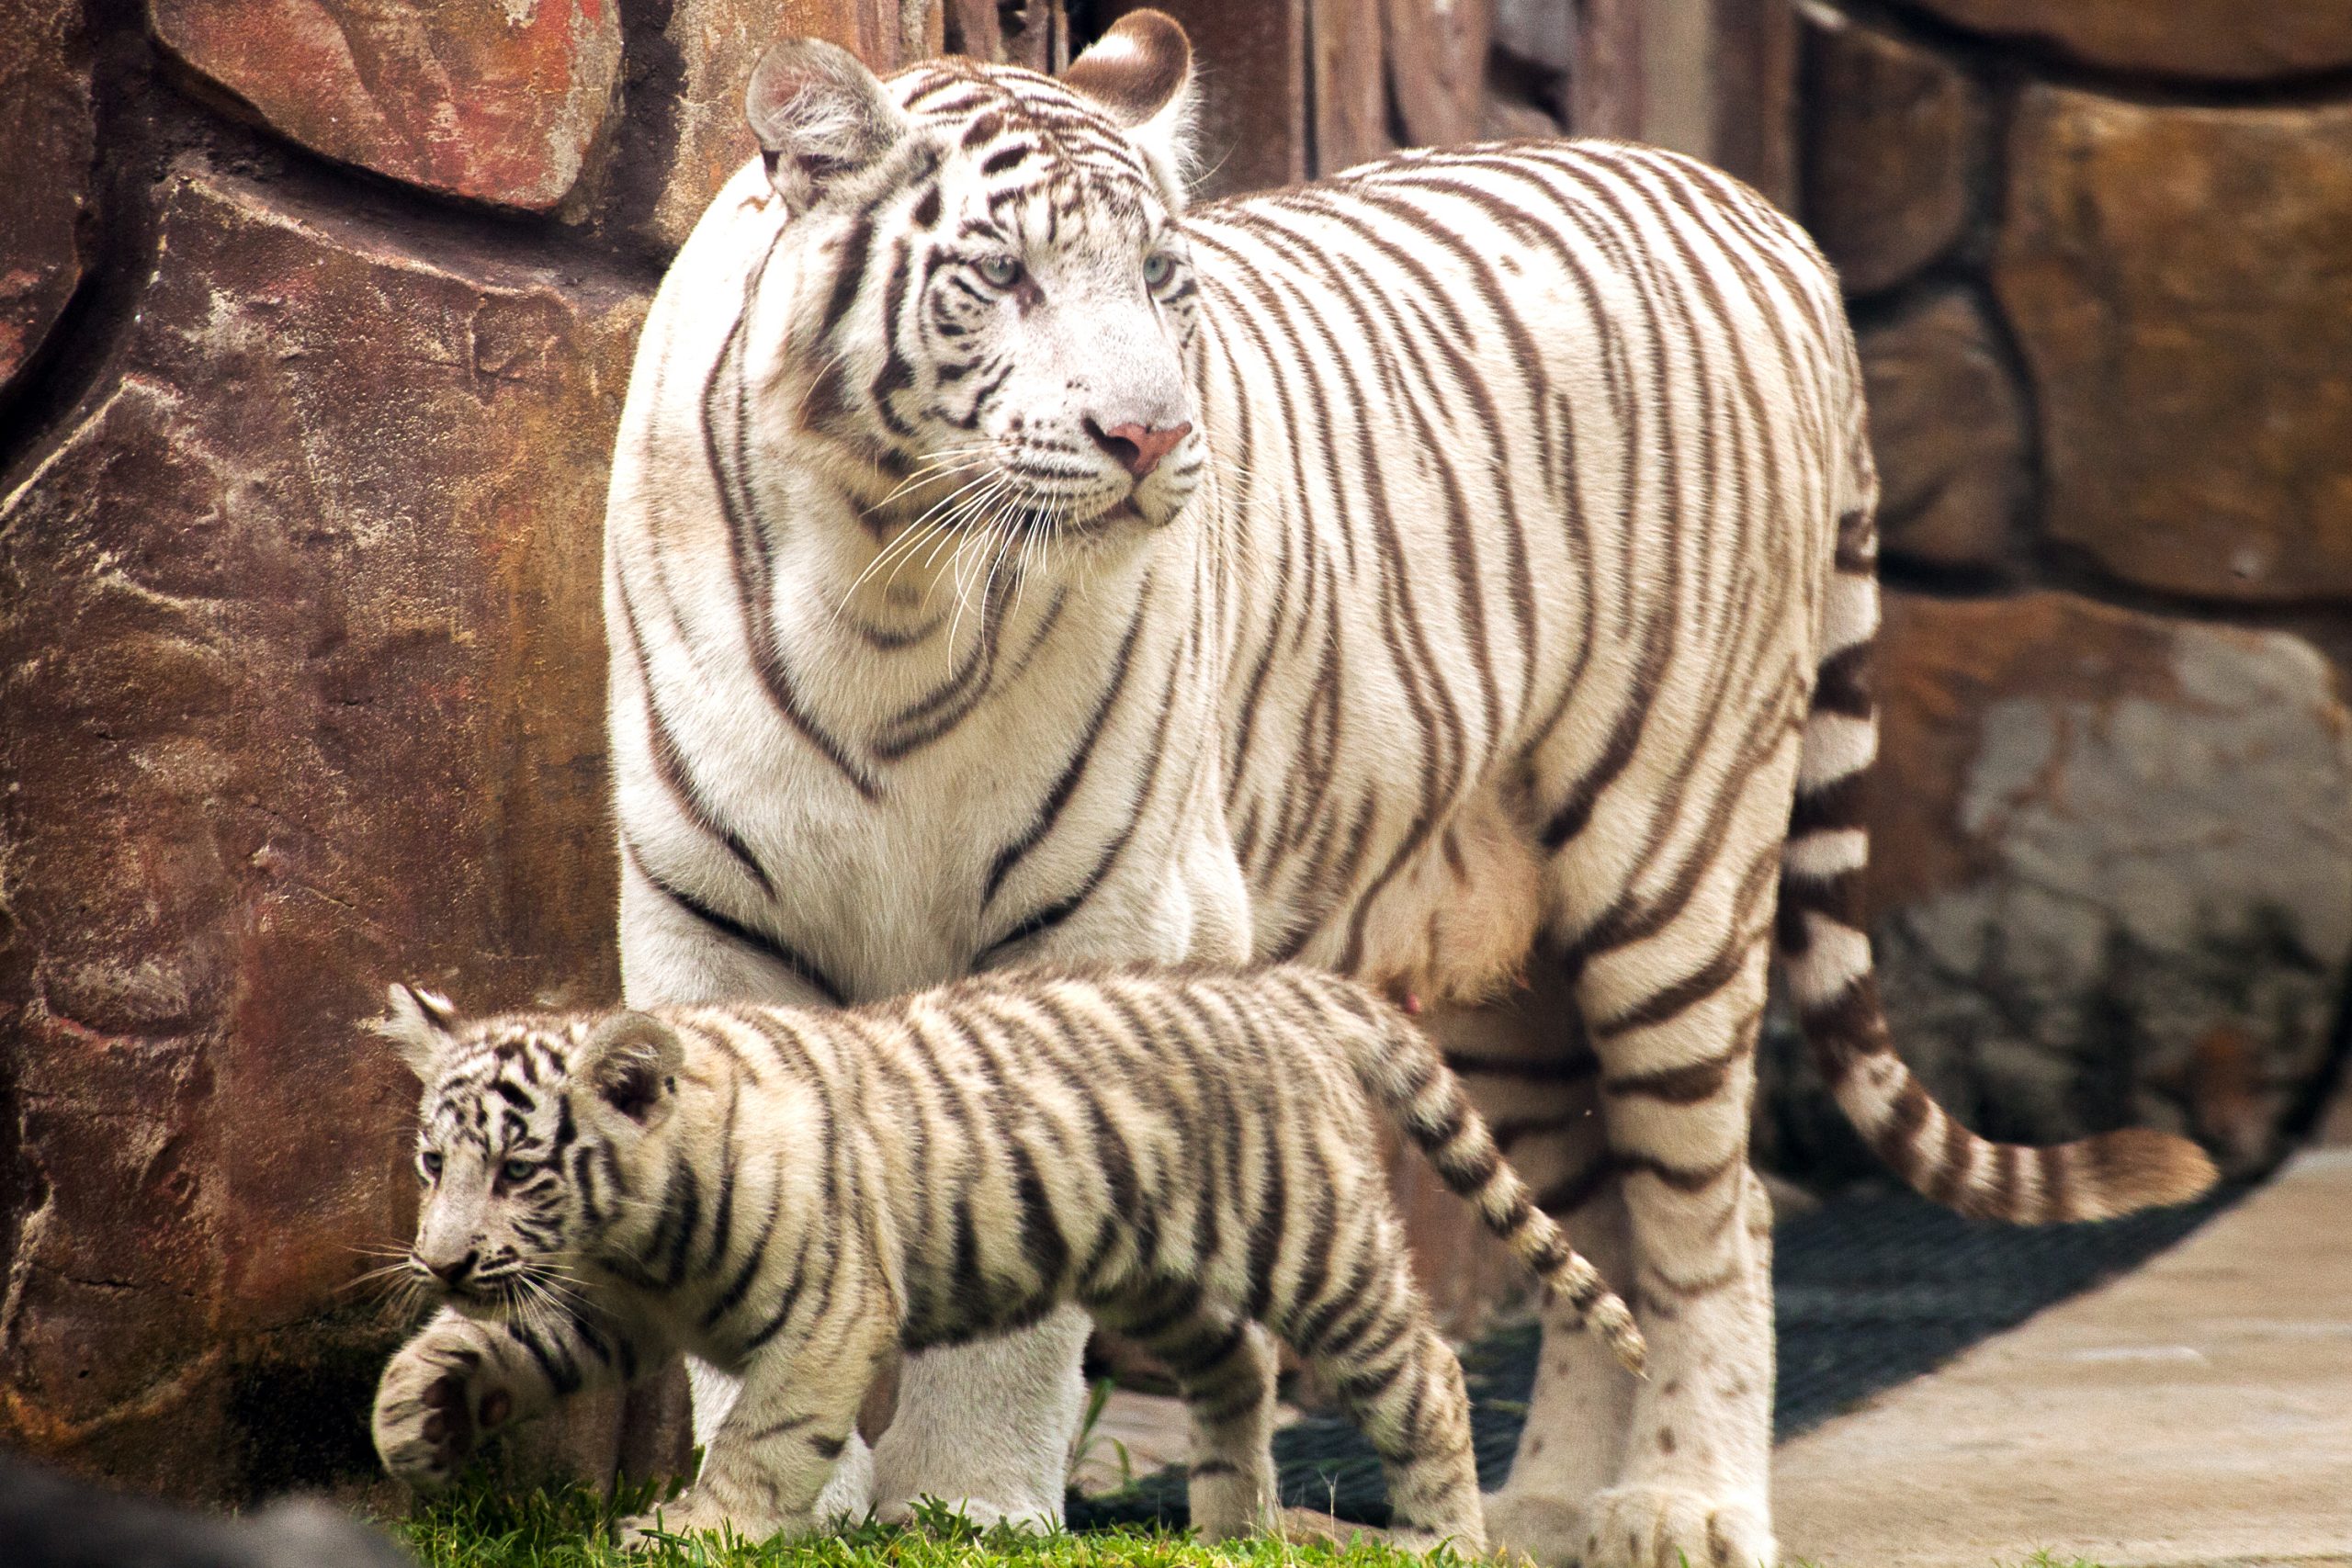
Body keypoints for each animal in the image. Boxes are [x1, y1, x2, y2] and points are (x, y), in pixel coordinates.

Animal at [597, 15, 2211, 1568]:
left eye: (1163, 276)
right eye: (1000, 275)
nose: (1153, 437)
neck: (886, 584)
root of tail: (1766, 216)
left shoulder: (1091, 926)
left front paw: (971, 1502)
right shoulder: (703, 921)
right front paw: (776, 1500)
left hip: (1675, 864)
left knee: (1717, 1206)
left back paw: (1685, 1504)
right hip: (1514, 970)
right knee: (1597, 1220)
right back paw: (1545, 1506)